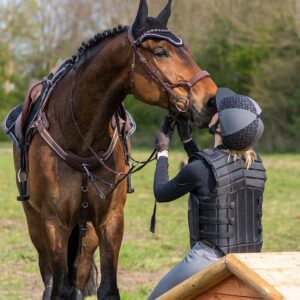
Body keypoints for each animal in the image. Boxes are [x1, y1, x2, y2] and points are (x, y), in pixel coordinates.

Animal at [11, 0, 216, 298]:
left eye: (186, 49)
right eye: (160, 52)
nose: (211, 100)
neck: (79, 136)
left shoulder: (111, 221)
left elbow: (107, 288)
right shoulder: (54, 223)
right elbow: (59, 288)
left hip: (87, 232)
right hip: (36, 224)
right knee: (50, 279)